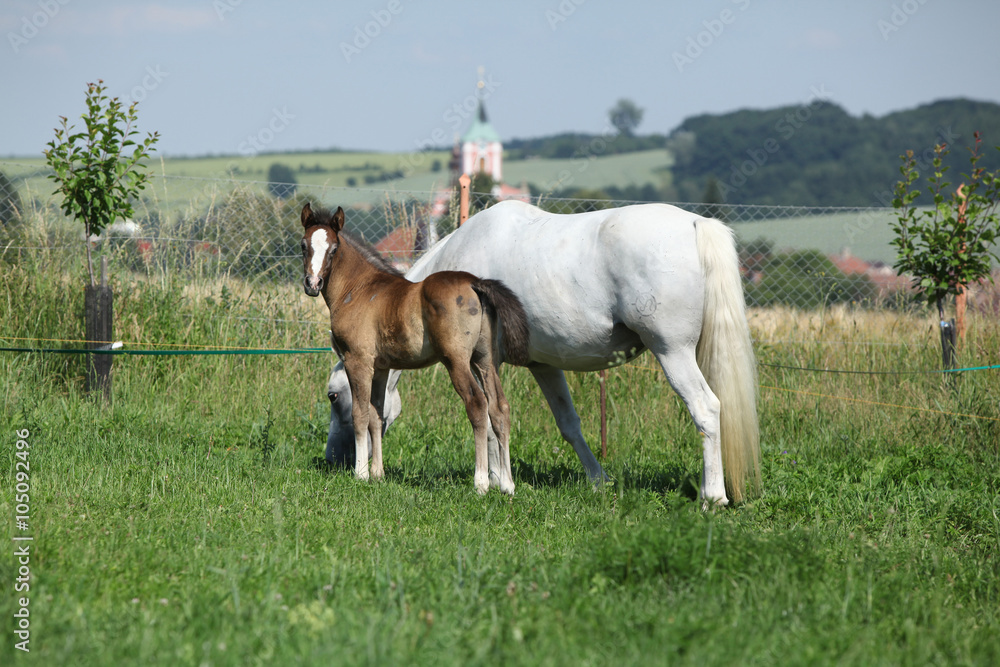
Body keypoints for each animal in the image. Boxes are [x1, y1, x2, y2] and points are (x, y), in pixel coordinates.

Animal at [300, 203, 530, 495]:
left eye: (333, 249)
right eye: (303, 245)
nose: (312, 284)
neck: (359, 289)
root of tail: (474, 283)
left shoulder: (358, 360)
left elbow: (360, 414)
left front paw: (361, 473)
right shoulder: (381, 368)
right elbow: (376, 415)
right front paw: (377, 473)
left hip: (457, 361)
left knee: (477, 404)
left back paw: (480, 483)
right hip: (485, 360)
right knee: (500, 408)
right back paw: (508, 485)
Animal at [325, 200, 760, 506]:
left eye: (333, 396)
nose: (334, 459)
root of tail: (695, 224)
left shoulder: (481, 362)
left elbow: (489, 419)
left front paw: (494, 480)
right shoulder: (543, 366)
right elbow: (567, 425)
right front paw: (597, 481)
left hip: (673, 353)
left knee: (706, 410)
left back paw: (712, 496)